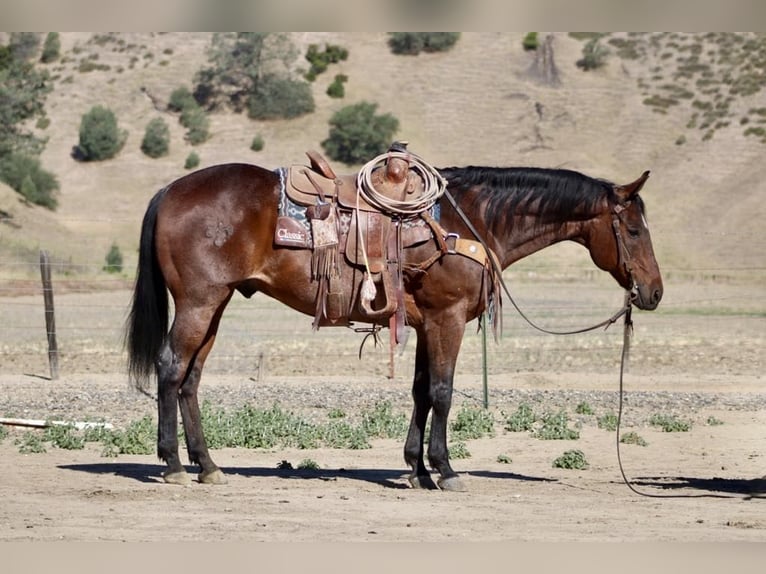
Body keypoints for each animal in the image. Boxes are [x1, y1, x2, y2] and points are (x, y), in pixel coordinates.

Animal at [126, 158, 663, 491]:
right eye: (634, 229)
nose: (654, 292)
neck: (471, 221)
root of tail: (171, 190)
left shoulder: (427, 324)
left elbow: (421, 392)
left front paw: (417, 470)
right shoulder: (448, 320)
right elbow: (443, 393)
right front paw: (446, 469)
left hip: (214, 306)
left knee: (191, 378)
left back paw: (208, 466)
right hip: (198, 302)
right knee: (171, 367)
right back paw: (173, 464)